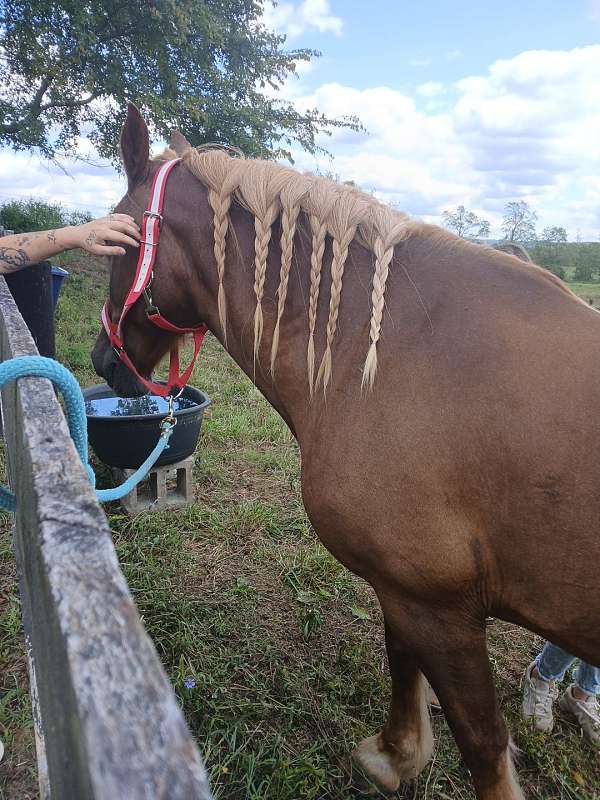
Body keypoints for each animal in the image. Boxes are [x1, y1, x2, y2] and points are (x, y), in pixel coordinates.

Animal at [92, 104, 600, 800]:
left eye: (114, 239)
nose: (100, 361)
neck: (390, 354)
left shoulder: (435, 603)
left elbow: (483, 743)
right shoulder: (404, 592)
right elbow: (402, 661)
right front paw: (397, 754)